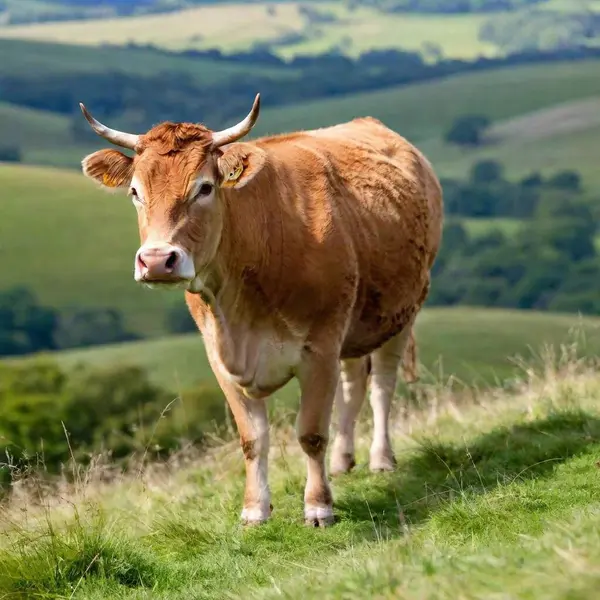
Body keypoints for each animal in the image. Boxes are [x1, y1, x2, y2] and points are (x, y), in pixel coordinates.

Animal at [78, 92, 446, 524]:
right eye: (135, 192)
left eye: (204, 188)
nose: (156, 261)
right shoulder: (220, 358)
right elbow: (252, 439)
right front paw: (254, 510)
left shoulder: (319, 347)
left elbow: (311, 433)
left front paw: (318, 506)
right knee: (354, 382)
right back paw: (343, 460)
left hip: (403, 310)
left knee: (382, 385)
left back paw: (381, 459)